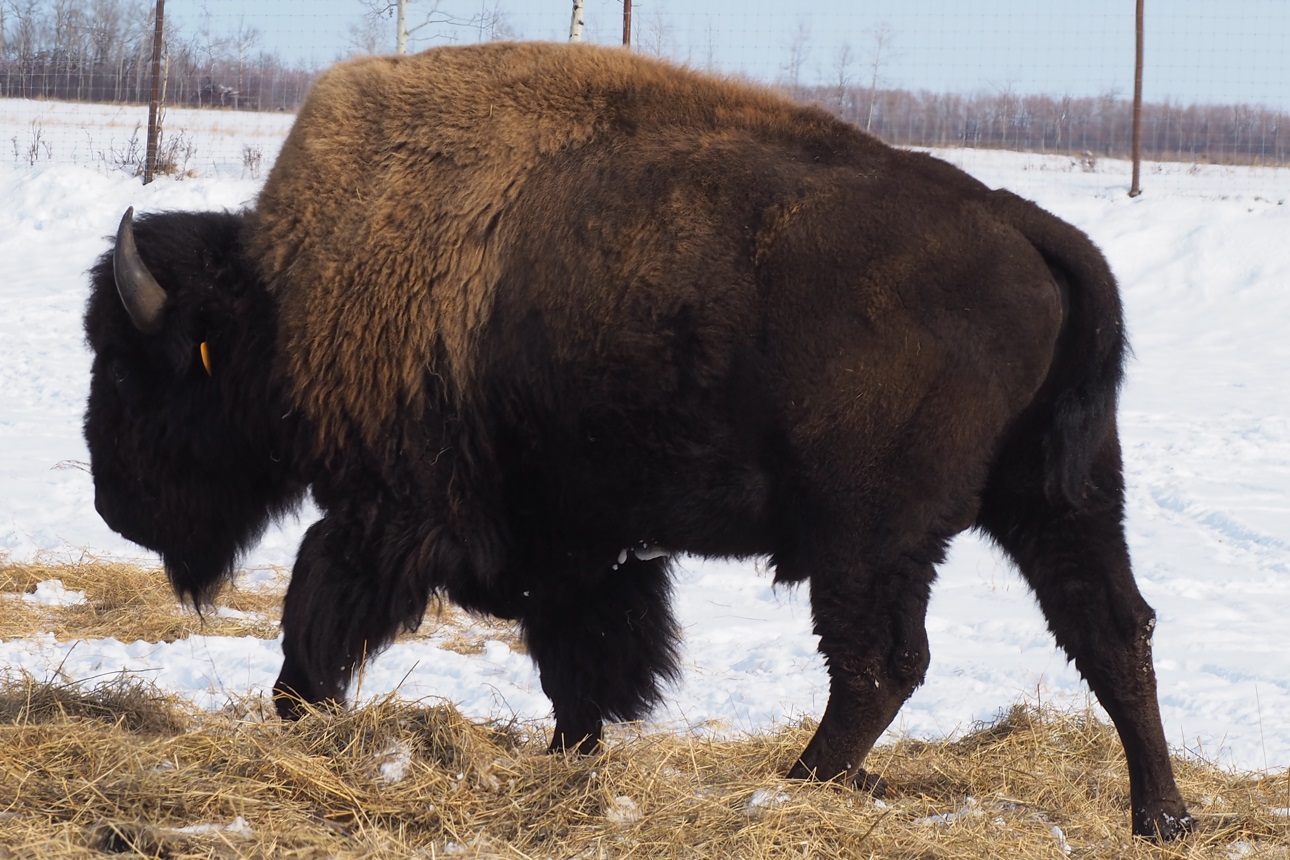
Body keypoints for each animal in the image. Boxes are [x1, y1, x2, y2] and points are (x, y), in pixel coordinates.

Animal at [83, 42, 1190, 838]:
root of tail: (1031, 230)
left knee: (883, 662)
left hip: (873, 535)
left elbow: (319, 604)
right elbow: (586, 657)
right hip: (1059, 498)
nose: (109, 501)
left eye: (133, 369)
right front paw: (572, 755)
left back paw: (793, 786)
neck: (278, 297)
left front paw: (299, 709)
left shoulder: (397, 510)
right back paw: (1162, 816)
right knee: (1111, 629)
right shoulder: (577, 542)